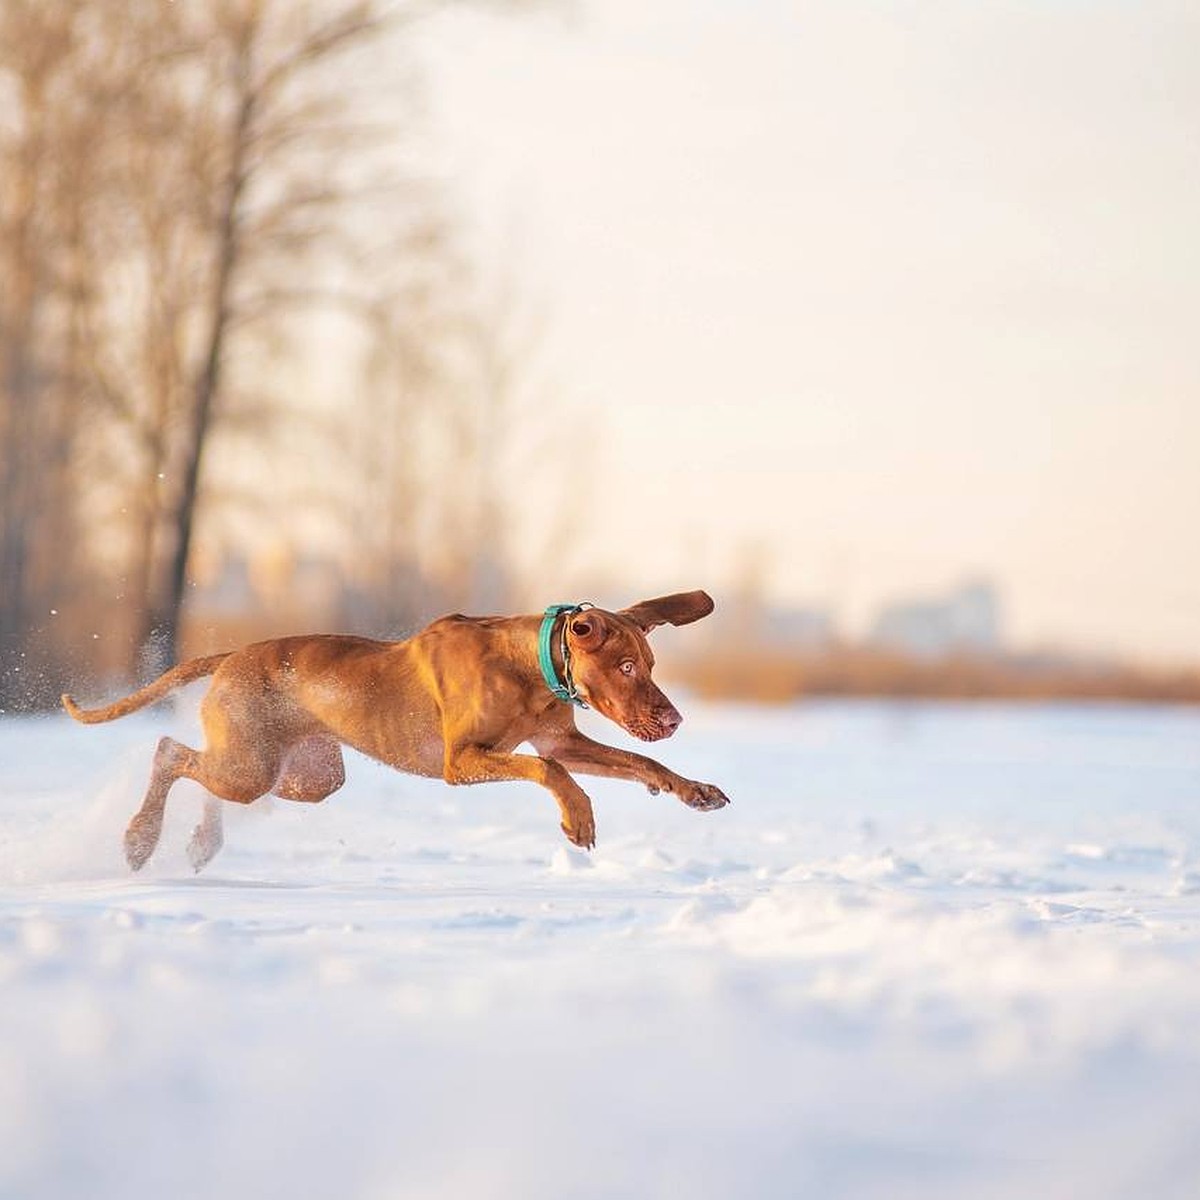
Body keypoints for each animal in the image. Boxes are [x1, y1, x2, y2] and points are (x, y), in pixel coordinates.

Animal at [65, 592, 729, 868]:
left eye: (650, 665)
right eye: (626, 666)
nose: (674, 718)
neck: (529, 665)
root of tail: (230, 656)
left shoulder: (561, 738)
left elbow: (639, 763)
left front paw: (692, 789)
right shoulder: (463, 761)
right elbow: (547, 770)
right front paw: (578, 816)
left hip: (303, 774)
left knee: (207, 776)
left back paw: (201, 842)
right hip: (252, 765)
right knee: (169, 751)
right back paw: (139, 839)